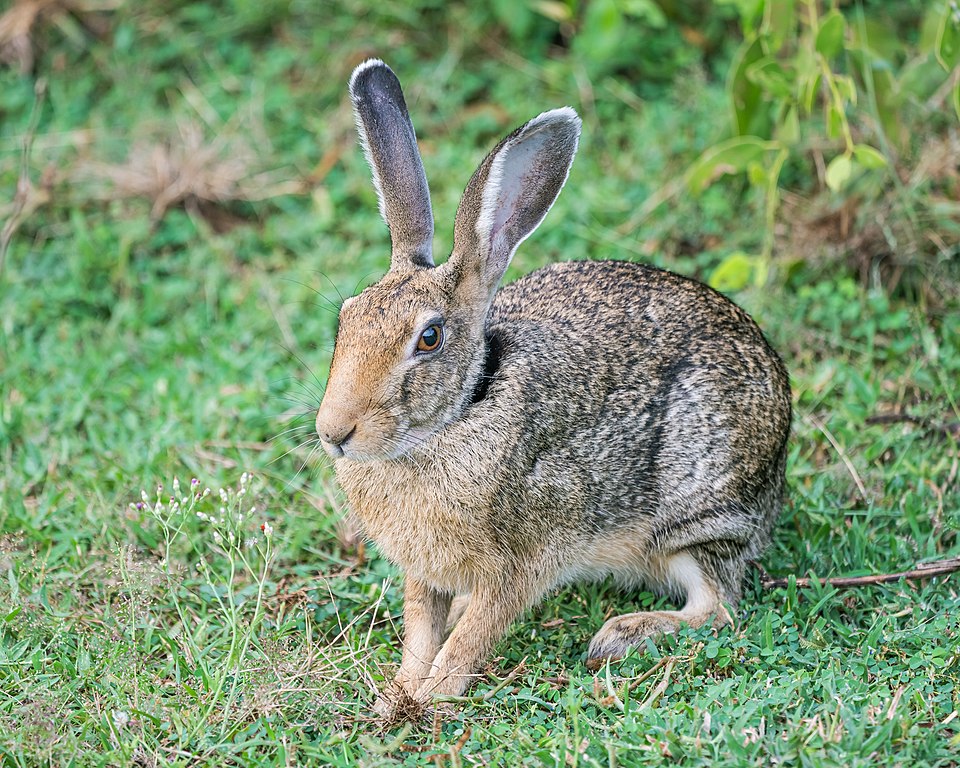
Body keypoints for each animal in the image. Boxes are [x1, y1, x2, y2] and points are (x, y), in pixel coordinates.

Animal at [314, 59, 792, 718]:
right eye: (348, 318)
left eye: (429, 339)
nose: (334, 433)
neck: (461, 412)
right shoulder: (426, 571)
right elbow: (422, 626)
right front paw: (400, 693)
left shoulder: (525, 559)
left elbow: (475, 632)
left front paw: (433, 696)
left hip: (699, 518)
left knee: (716, 607)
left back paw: (619, 636)